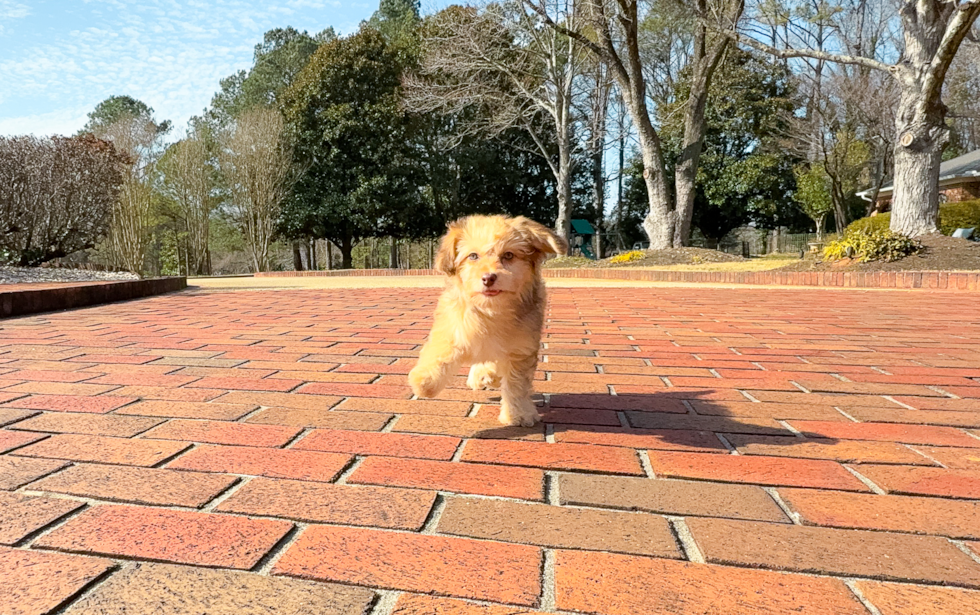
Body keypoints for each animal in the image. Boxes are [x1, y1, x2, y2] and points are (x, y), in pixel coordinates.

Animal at [408, 214, 568, 426]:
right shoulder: (454, 326)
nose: (488, 278)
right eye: (473, 256)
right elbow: (442, 352)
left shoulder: (520, 348)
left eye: (508, 255)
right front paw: (425, 382)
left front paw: (519, 414)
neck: (490, 310)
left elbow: (516, 385)